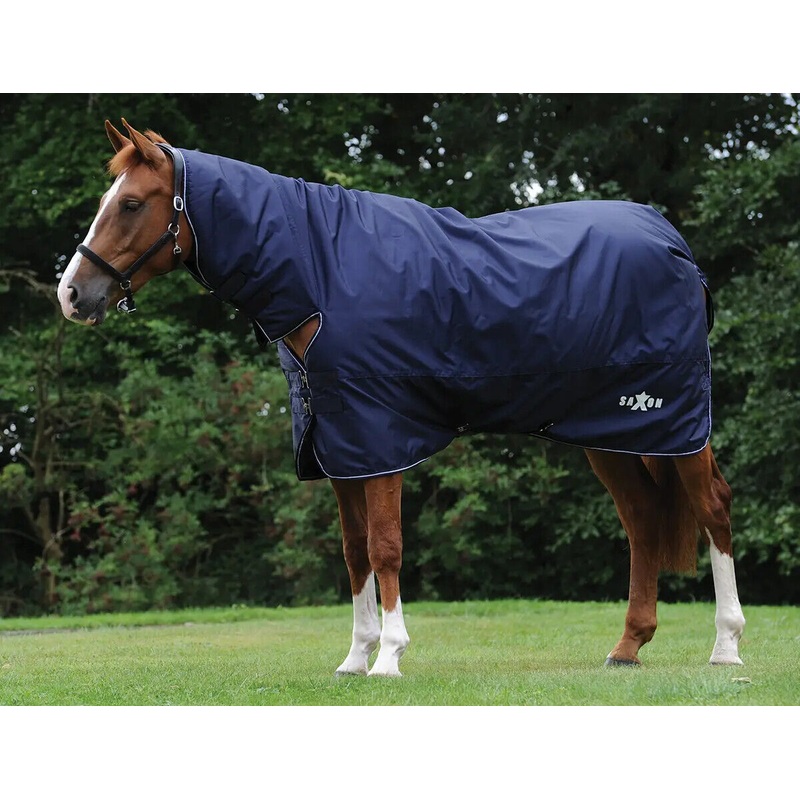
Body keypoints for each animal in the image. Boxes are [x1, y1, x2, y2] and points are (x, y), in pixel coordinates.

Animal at [57, 119, 745, 677]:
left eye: (132, 203)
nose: (71, 294)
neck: (321, 273)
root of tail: (672, 240)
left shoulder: (379, 435)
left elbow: (386, 545)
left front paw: (389, 656)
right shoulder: (337, 446)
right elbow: (354, 551)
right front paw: (354, 657)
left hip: (676, 423)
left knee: (712, 508)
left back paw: (726, 647)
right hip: (611, 433)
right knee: (643, 522)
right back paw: (628, 648)